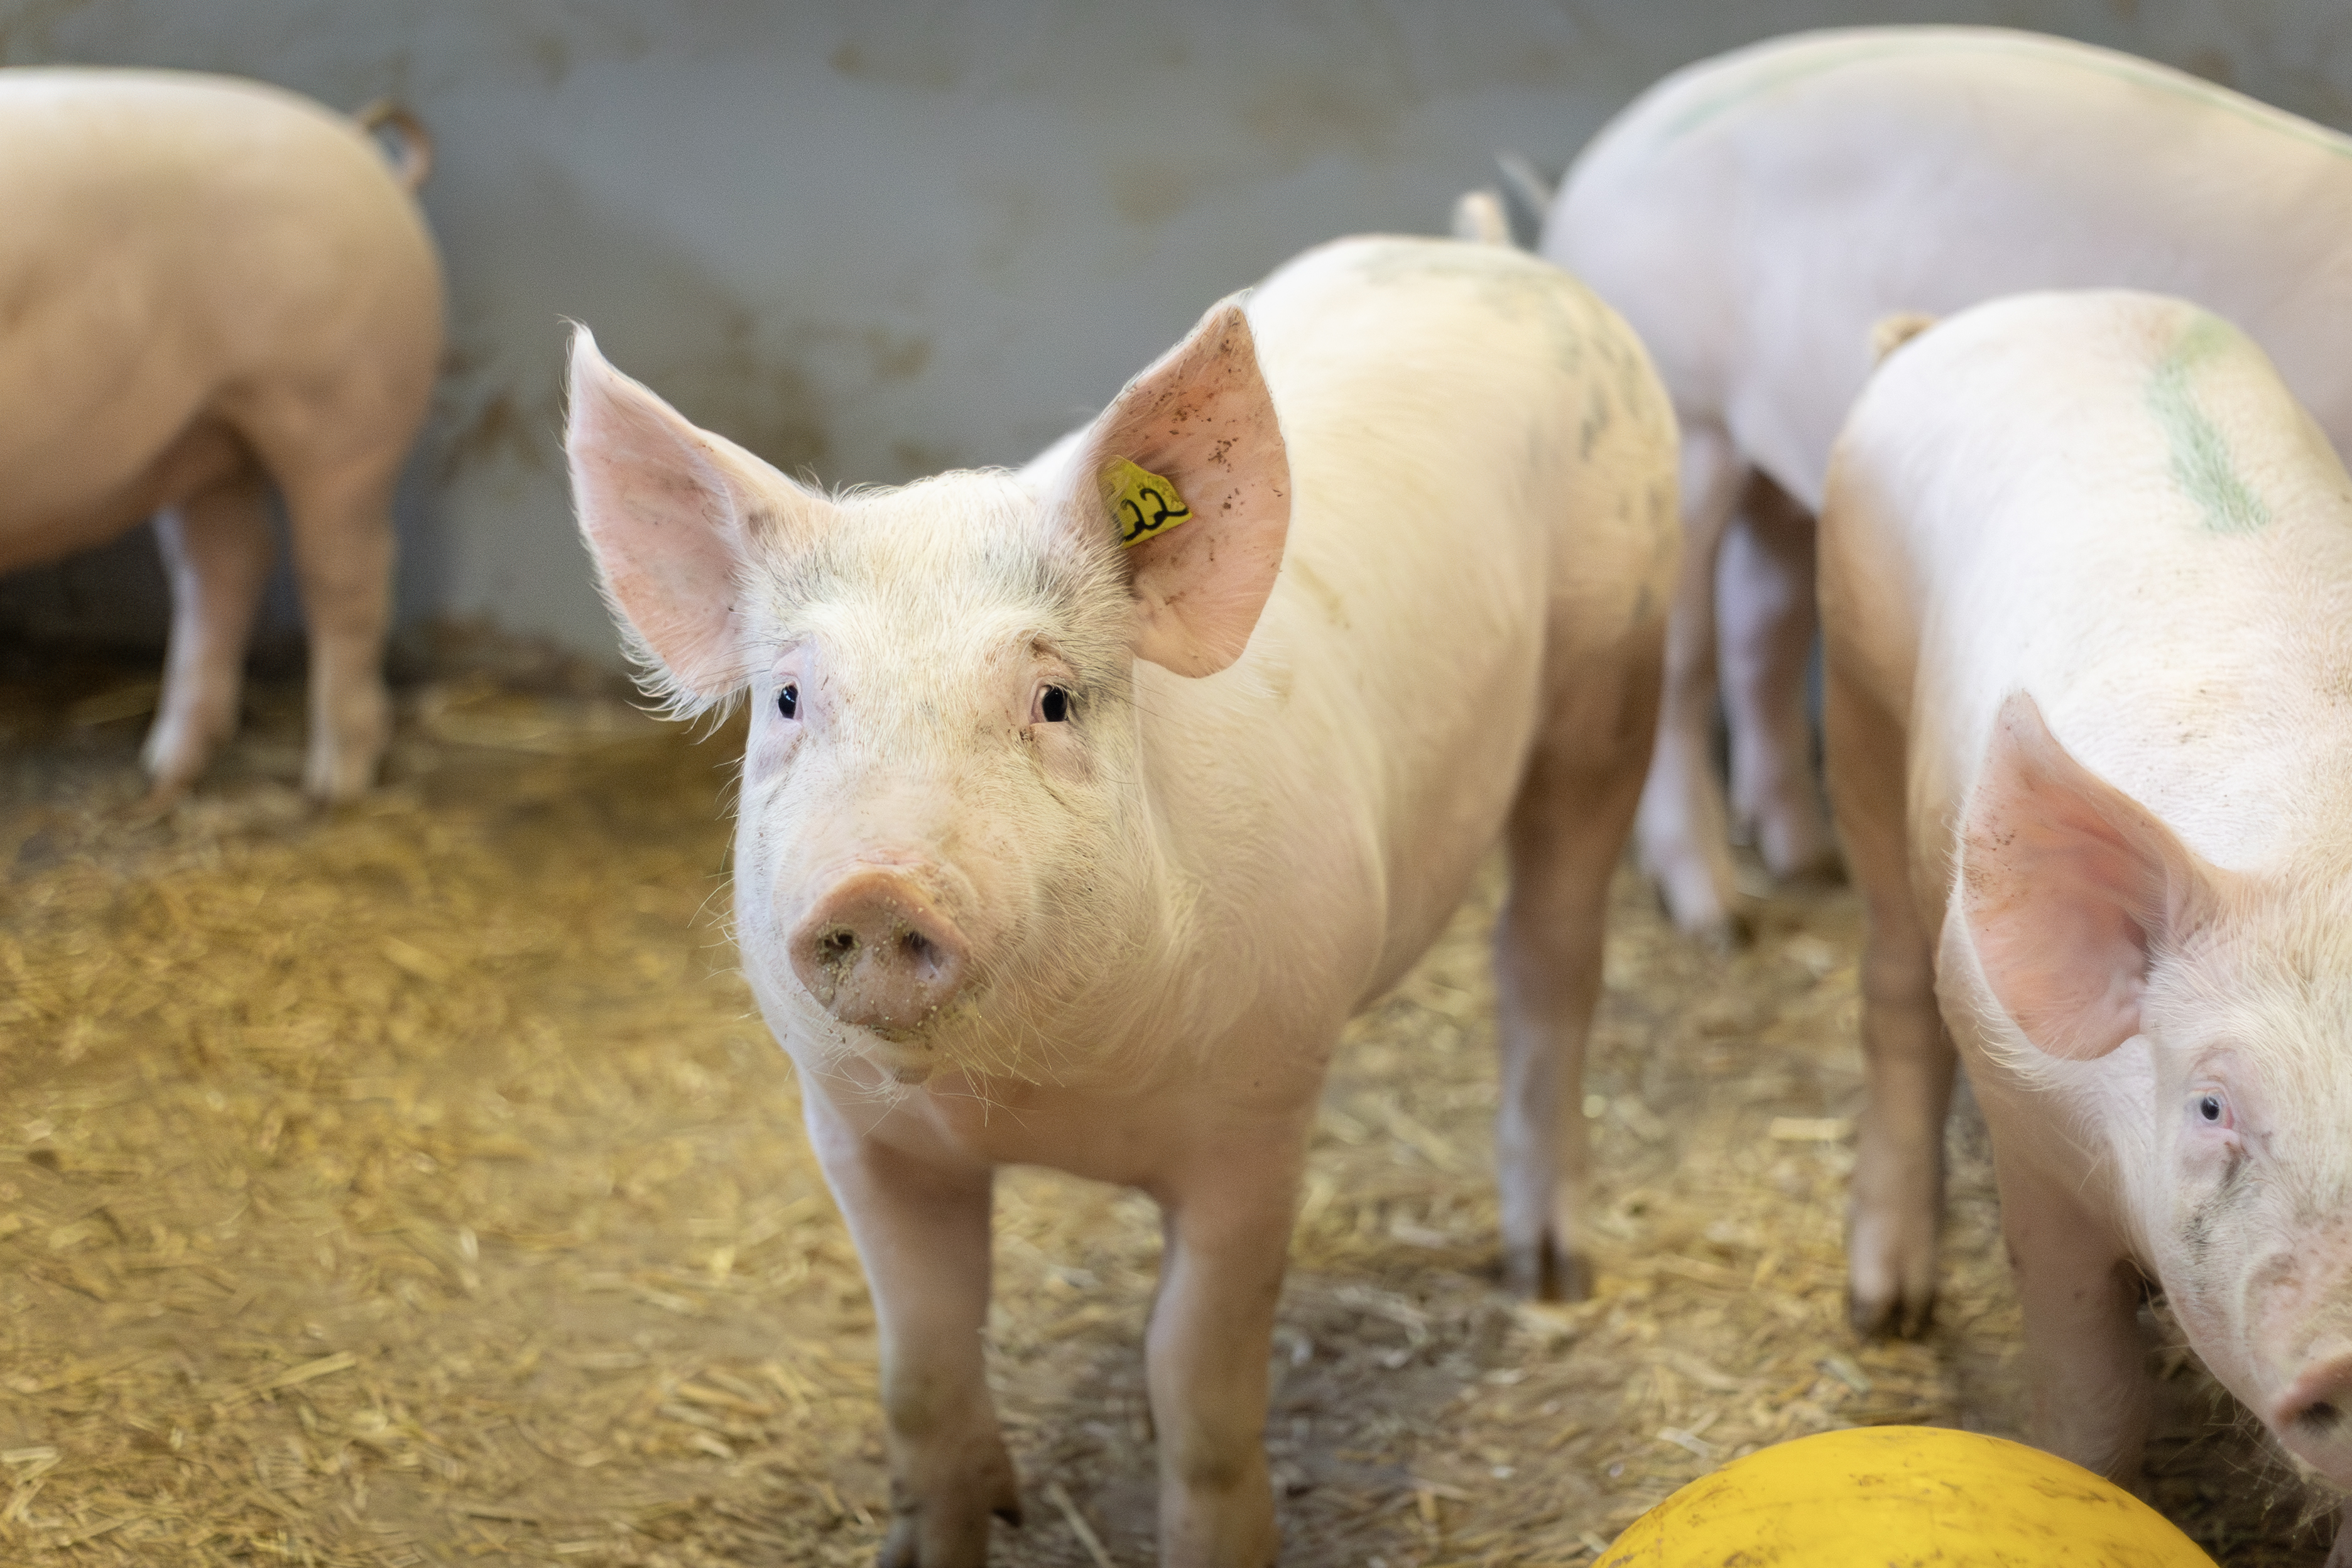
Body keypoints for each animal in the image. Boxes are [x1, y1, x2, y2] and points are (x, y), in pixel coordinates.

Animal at [0, 69, 444, 800]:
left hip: (345, 413)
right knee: (225, 564)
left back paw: (334, 785)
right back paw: (168, 773)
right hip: (209, 432)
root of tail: (354, 142)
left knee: (345, 576)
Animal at [565, 234, 1677, 1566]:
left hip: (1615, 671)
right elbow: (918, 1372)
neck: (1038, 1100)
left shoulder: (1260, 1117)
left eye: (1050, 701)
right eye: (788, 699)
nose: (880, 884)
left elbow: (1197, 1379)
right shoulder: (854, 1131)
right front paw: (953, 1528)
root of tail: (1484, 251)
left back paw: (1550, 1275)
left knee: (1547, 961)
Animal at [1545, 25, 2352, 946]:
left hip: (1783, 463)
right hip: (1687, 422)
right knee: (1683, 661)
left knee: (1764, 631)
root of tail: (1591, 174)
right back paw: (1720, 918)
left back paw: (1808, 861)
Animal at [1819, 289, 2352, 1538]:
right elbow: (2092, 1403)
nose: (2349, 1354)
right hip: (1856, 684)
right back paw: (1887, 1307)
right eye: (2210, 1104)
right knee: (1889, 981)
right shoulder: (2030, 1124)